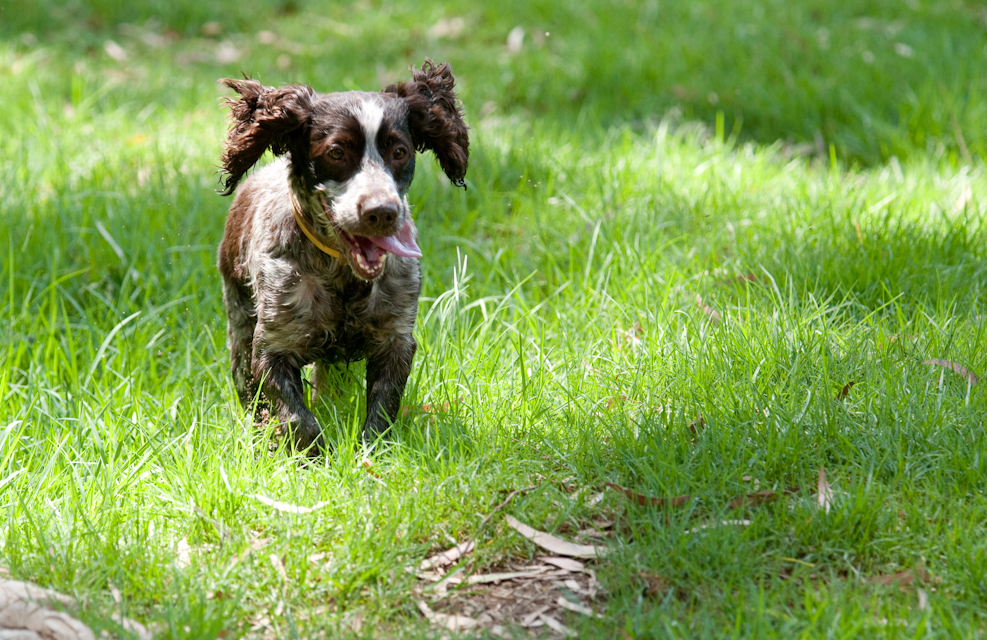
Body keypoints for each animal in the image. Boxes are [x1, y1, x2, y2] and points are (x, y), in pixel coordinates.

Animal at [219, 58, 470, 450]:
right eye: (337, 153)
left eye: (399, 152)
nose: (382, 212)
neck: (341, 274)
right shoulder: (271, 345)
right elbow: (297, 420)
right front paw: (312, 451)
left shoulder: (395, 339)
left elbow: (382, 411)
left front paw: (372, 451)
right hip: (239, 317)